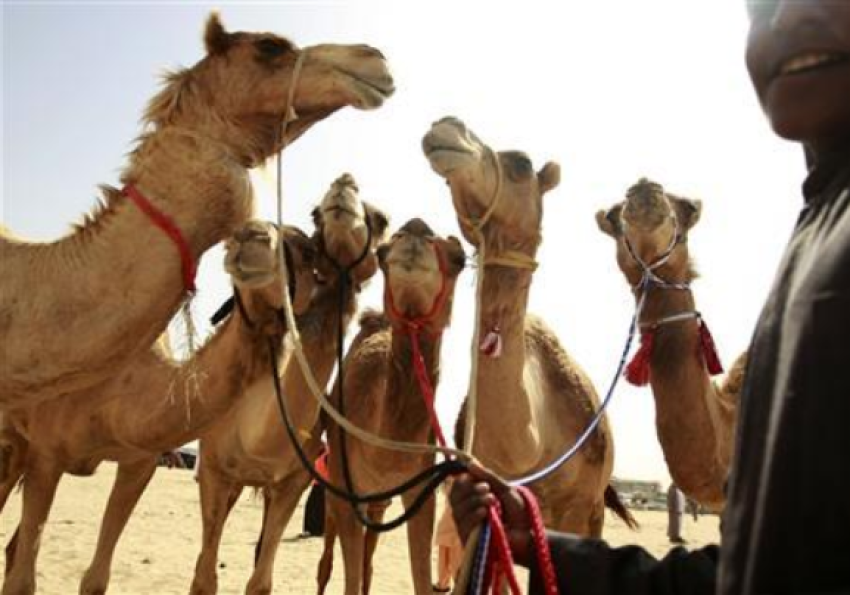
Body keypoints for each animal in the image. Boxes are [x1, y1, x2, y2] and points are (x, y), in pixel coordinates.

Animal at [0, 220, 318, 595]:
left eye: (309, 250)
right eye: (231, 239)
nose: (250, 235)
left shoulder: (139, 463)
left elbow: (96, 578)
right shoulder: (47, 455)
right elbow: (22, 581)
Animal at [189, 174, 388, 595]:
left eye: (380, 220)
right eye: (316, 213)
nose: (344, 182)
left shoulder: (293, 483)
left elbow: (260, 581)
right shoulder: (213, 469)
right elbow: (204, 576)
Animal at [323, 218, 467, 595]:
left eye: (459, 258)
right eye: (382, 251)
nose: (416, 229)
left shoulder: (421, 493)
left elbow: (419, 577)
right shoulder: (345, 490)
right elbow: (349, 576)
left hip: (379, 501)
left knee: (368, 560)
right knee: (327, 562)